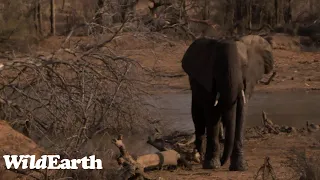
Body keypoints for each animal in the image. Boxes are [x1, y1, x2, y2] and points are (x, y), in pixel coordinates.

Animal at [181, 34, 274, 171]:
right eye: (216, 67)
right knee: (198, 118)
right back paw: (198, 156)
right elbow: (212, 114)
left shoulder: (247, 83)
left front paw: (240, 167)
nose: (222, 161)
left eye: (244, 66)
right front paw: (212, 165)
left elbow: (241, 114)